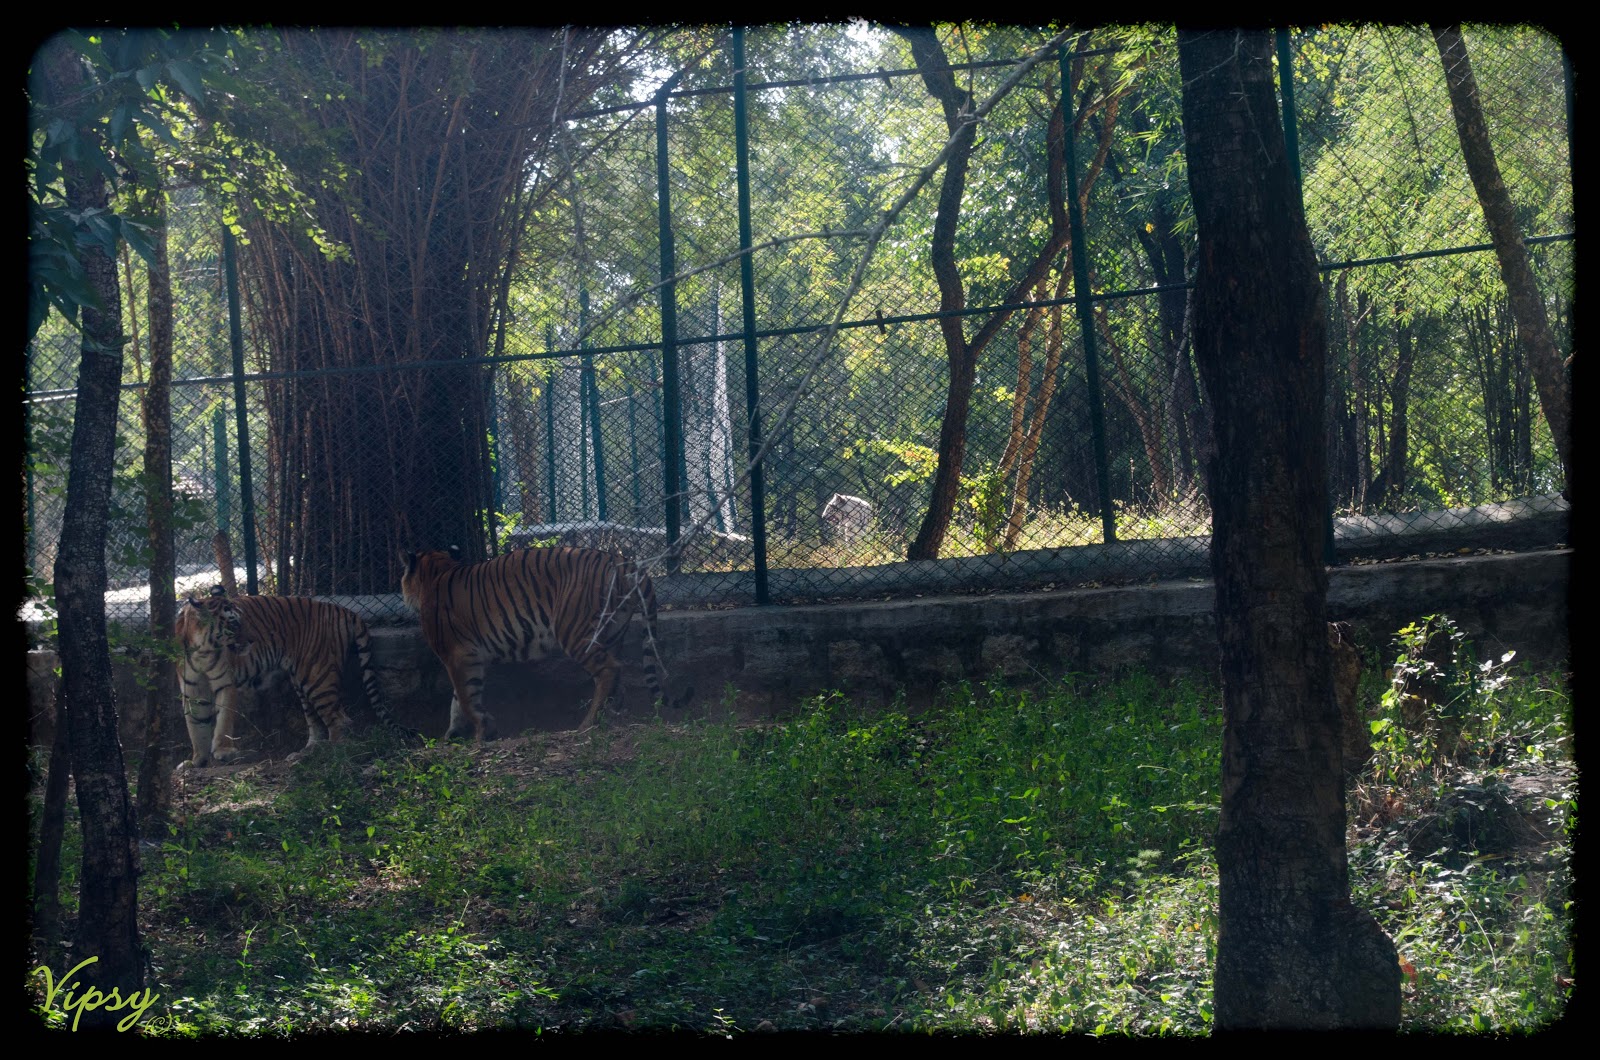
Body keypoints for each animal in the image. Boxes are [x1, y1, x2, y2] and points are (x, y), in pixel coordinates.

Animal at [175, 589, 412, 771]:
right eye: (234, 623)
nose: (252, 640)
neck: (202, 650)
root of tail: (345, 610)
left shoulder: (226, 684)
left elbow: (223, 720)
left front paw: (222, 751)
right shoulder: (192, 690)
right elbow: (196, 726)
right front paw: (196, 761)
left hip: (317, 677)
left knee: (340, 720)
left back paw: (332, 752)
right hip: (302, 680)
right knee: (317, 723)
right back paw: (305, 753)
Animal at [396, 544, 691, 742]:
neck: (436, 572)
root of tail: (623, 561)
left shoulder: (457, 656)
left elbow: (466, 699)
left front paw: (481, 734)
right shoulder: (472, 658)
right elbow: (459, 700)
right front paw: (455, 734)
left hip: (572, 630)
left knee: (609, 669)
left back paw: (586, 725)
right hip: (612, 632)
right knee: (616, 672)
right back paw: (613, 716)